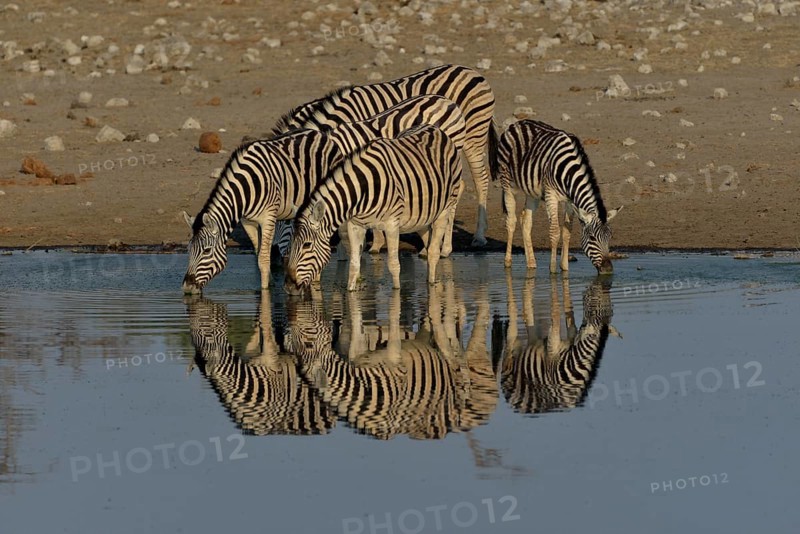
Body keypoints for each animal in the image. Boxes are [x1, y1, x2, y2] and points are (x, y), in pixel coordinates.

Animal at [181, 128, 340, 293]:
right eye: (189, 250)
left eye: (206, 251)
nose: (187, 287)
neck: (247, 188)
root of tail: (319, 133)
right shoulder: (247, 222)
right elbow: (258, 254)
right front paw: (270, 283)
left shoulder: (268, 218)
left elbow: (263, 258)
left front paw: (265, 292)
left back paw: (316, 279)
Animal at [271, 63, 496, 248]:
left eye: (286, 221)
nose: (275, 257)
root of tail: (472, 71)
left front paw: (375, 242)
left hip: (474, 136)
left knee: (480, 180)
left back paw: (474, 238)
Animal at [285, 124, 463, 294]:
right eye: (292, 243)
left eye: (307, 245)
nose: (289, 286)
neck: (363, 190)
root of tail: (436, 129)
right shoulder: (355, 226)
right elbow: (354, 265)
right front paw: (351, 293)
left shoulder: (392, 224)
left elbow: (393, 264)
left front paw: (396, 293)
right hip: (422, 216)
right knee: (429, 244)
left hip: (445, 208)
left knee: (433, 252)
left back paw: (432, 285)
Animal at [491, 119, 622, 274]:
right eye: (591, 238)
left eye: (610, 236)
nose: (608, 269)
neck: (569, 171)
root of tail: (517, 124)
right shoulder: (551, 196)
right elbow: (555, 232)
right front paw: (553, 270)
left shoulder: (570, 201)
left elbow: (567, 231)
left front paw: (564, 268)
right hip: (507, 184)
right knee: (511, 221)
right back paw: (508, 262)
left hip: (532, 191)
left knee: (526, 221)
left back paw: (531, 263)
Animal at [498, 273, 619, 414]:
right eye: (595, 301)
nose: (587, 291)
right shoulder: (552, 351)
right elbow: (556, 314)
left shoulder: (565, 342)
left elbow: (568, 317)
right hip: (512, 347)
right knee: (510, 332)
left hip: (531, 345)